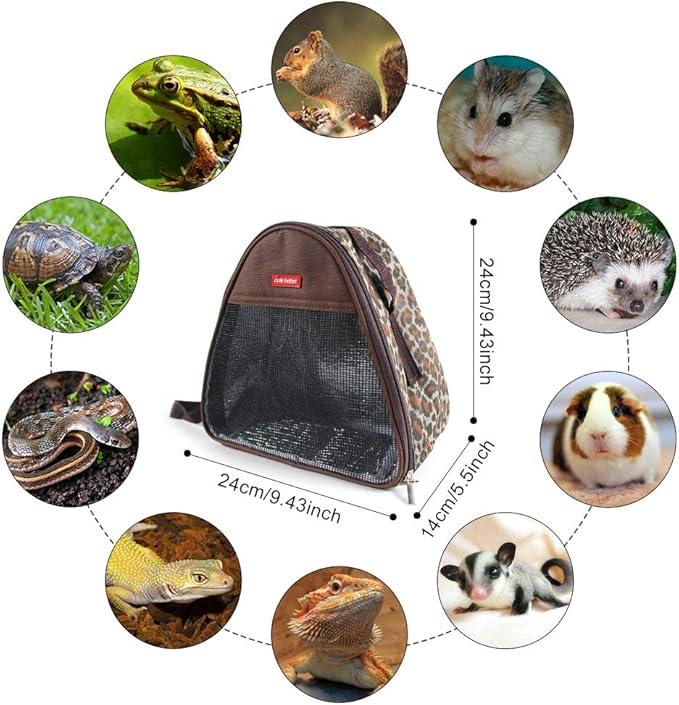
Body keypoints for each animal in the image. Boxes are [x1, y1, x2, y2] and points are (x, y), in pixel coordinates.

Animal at [275, 30, 407, 122]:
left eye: (296, 50)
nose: (285, 62)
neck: (320, 59)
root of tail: (375, 114)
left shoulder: (320, 73)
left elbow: (307, 85)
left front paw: (284, 72)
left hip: (346, 112)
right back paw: (323, 112)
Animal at [440, 542, 572, 615]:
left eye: (494, 572)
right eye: (462, 580)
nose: (478, 593)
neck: (495, 598)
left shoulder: (519, 579)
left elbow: (526, 588)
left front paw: (516, 613)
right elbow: (473, 606)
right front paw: (465, 610)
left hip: (541, 583)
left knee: (543, 591)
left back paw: (562, 604)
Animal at [446, 60, 573, 190]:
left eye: (505, 119)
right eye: (472, 110)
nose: (478, 149)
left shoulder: (529, 155)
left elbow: (504, 163)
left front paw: (486, 166)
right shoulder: (460, 142)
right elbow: (468, 156)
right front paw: (477, 164)